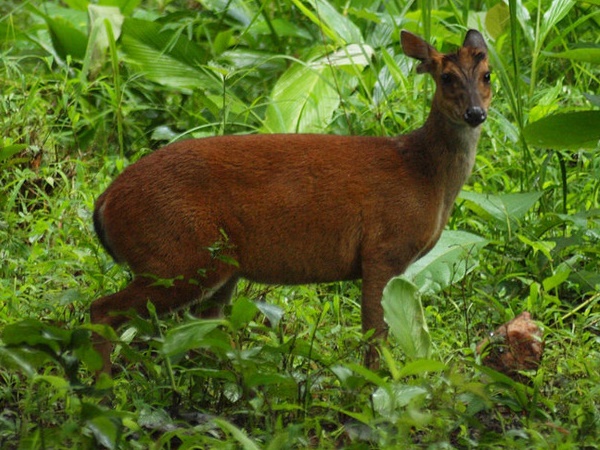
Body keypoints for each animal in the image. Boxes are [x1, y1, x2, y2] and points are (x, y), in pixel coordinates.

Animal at [90, 29, 492, 372]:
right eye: (447, 77)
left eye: (487, 74)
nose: (475, 113)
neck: (424, 174)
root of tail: (105, 202)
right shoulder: (382, 249)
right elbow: (375, 334)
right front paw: (373, 389)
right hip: (178, 257)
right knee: (102, 309)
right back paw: (103, 387)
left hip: (217, 265)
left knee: (201, 331)